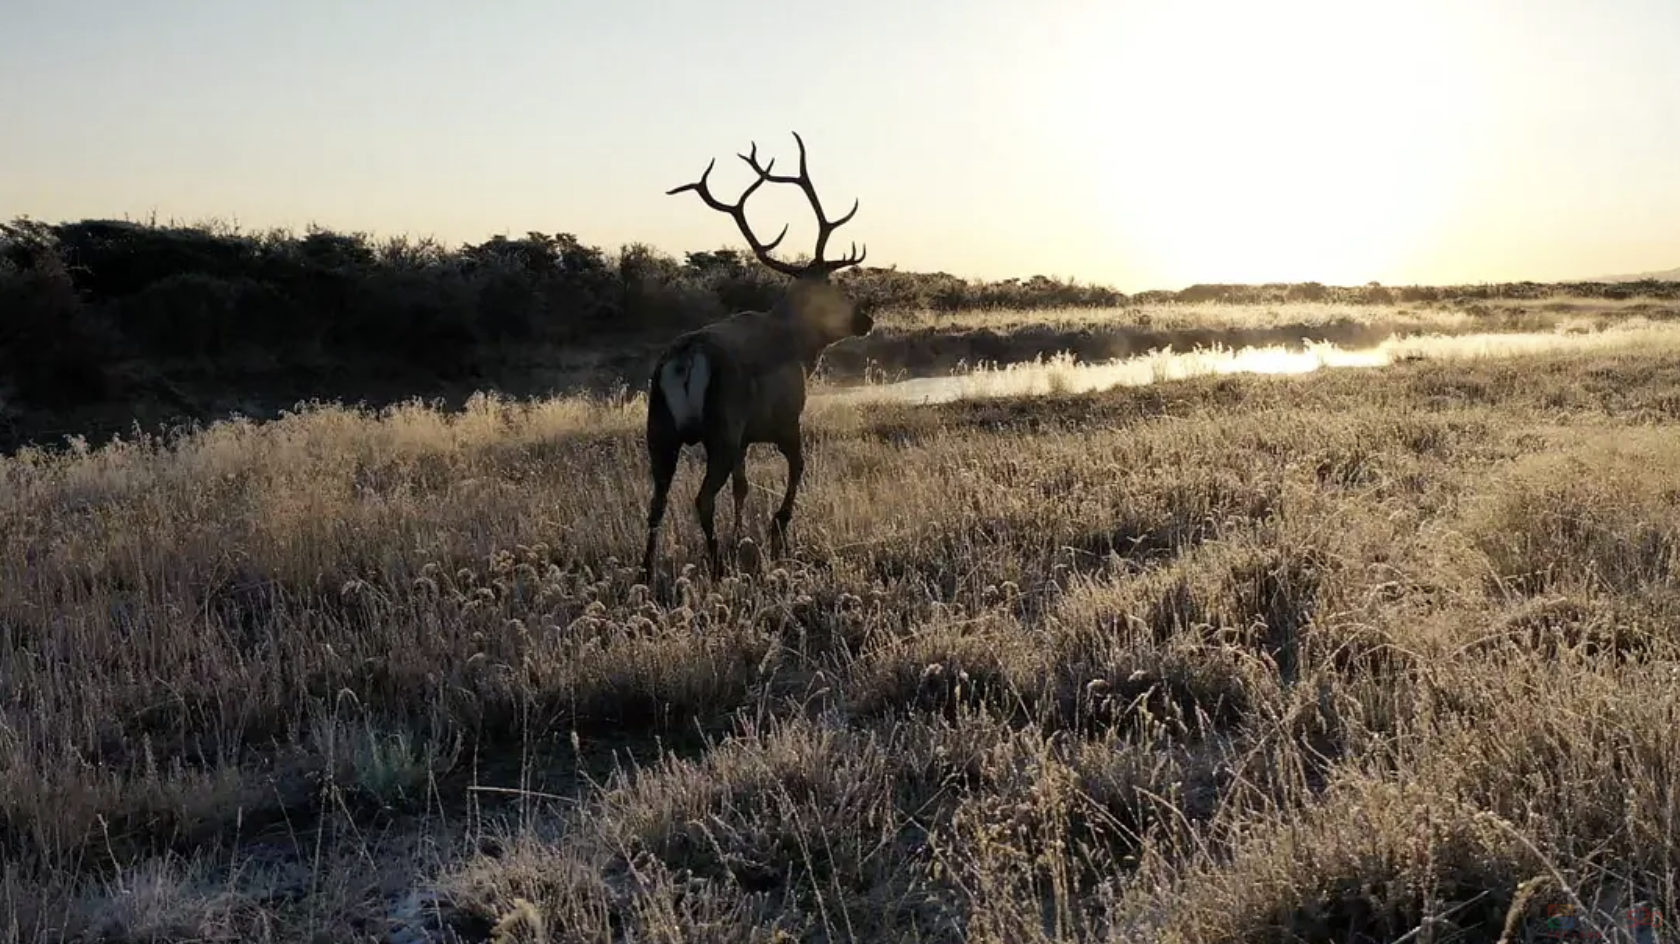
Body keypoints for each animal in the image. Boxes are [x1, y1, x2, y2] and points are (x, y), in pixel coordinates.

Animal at [641, 129, 873, 577]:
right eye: (835, 288)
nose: (865, 320)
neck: (800, 347)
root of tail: (684, 359)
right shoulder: (783, 421)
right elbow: (797, 468)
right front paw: (777, 528)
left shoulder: (745, 440)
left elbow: (742, 487)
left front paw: (740, 536)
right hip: (720, 426)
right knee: (701, 498)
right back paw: (715, 564)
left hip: (659, 429)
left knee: (656, 503)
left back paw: (646, 569)